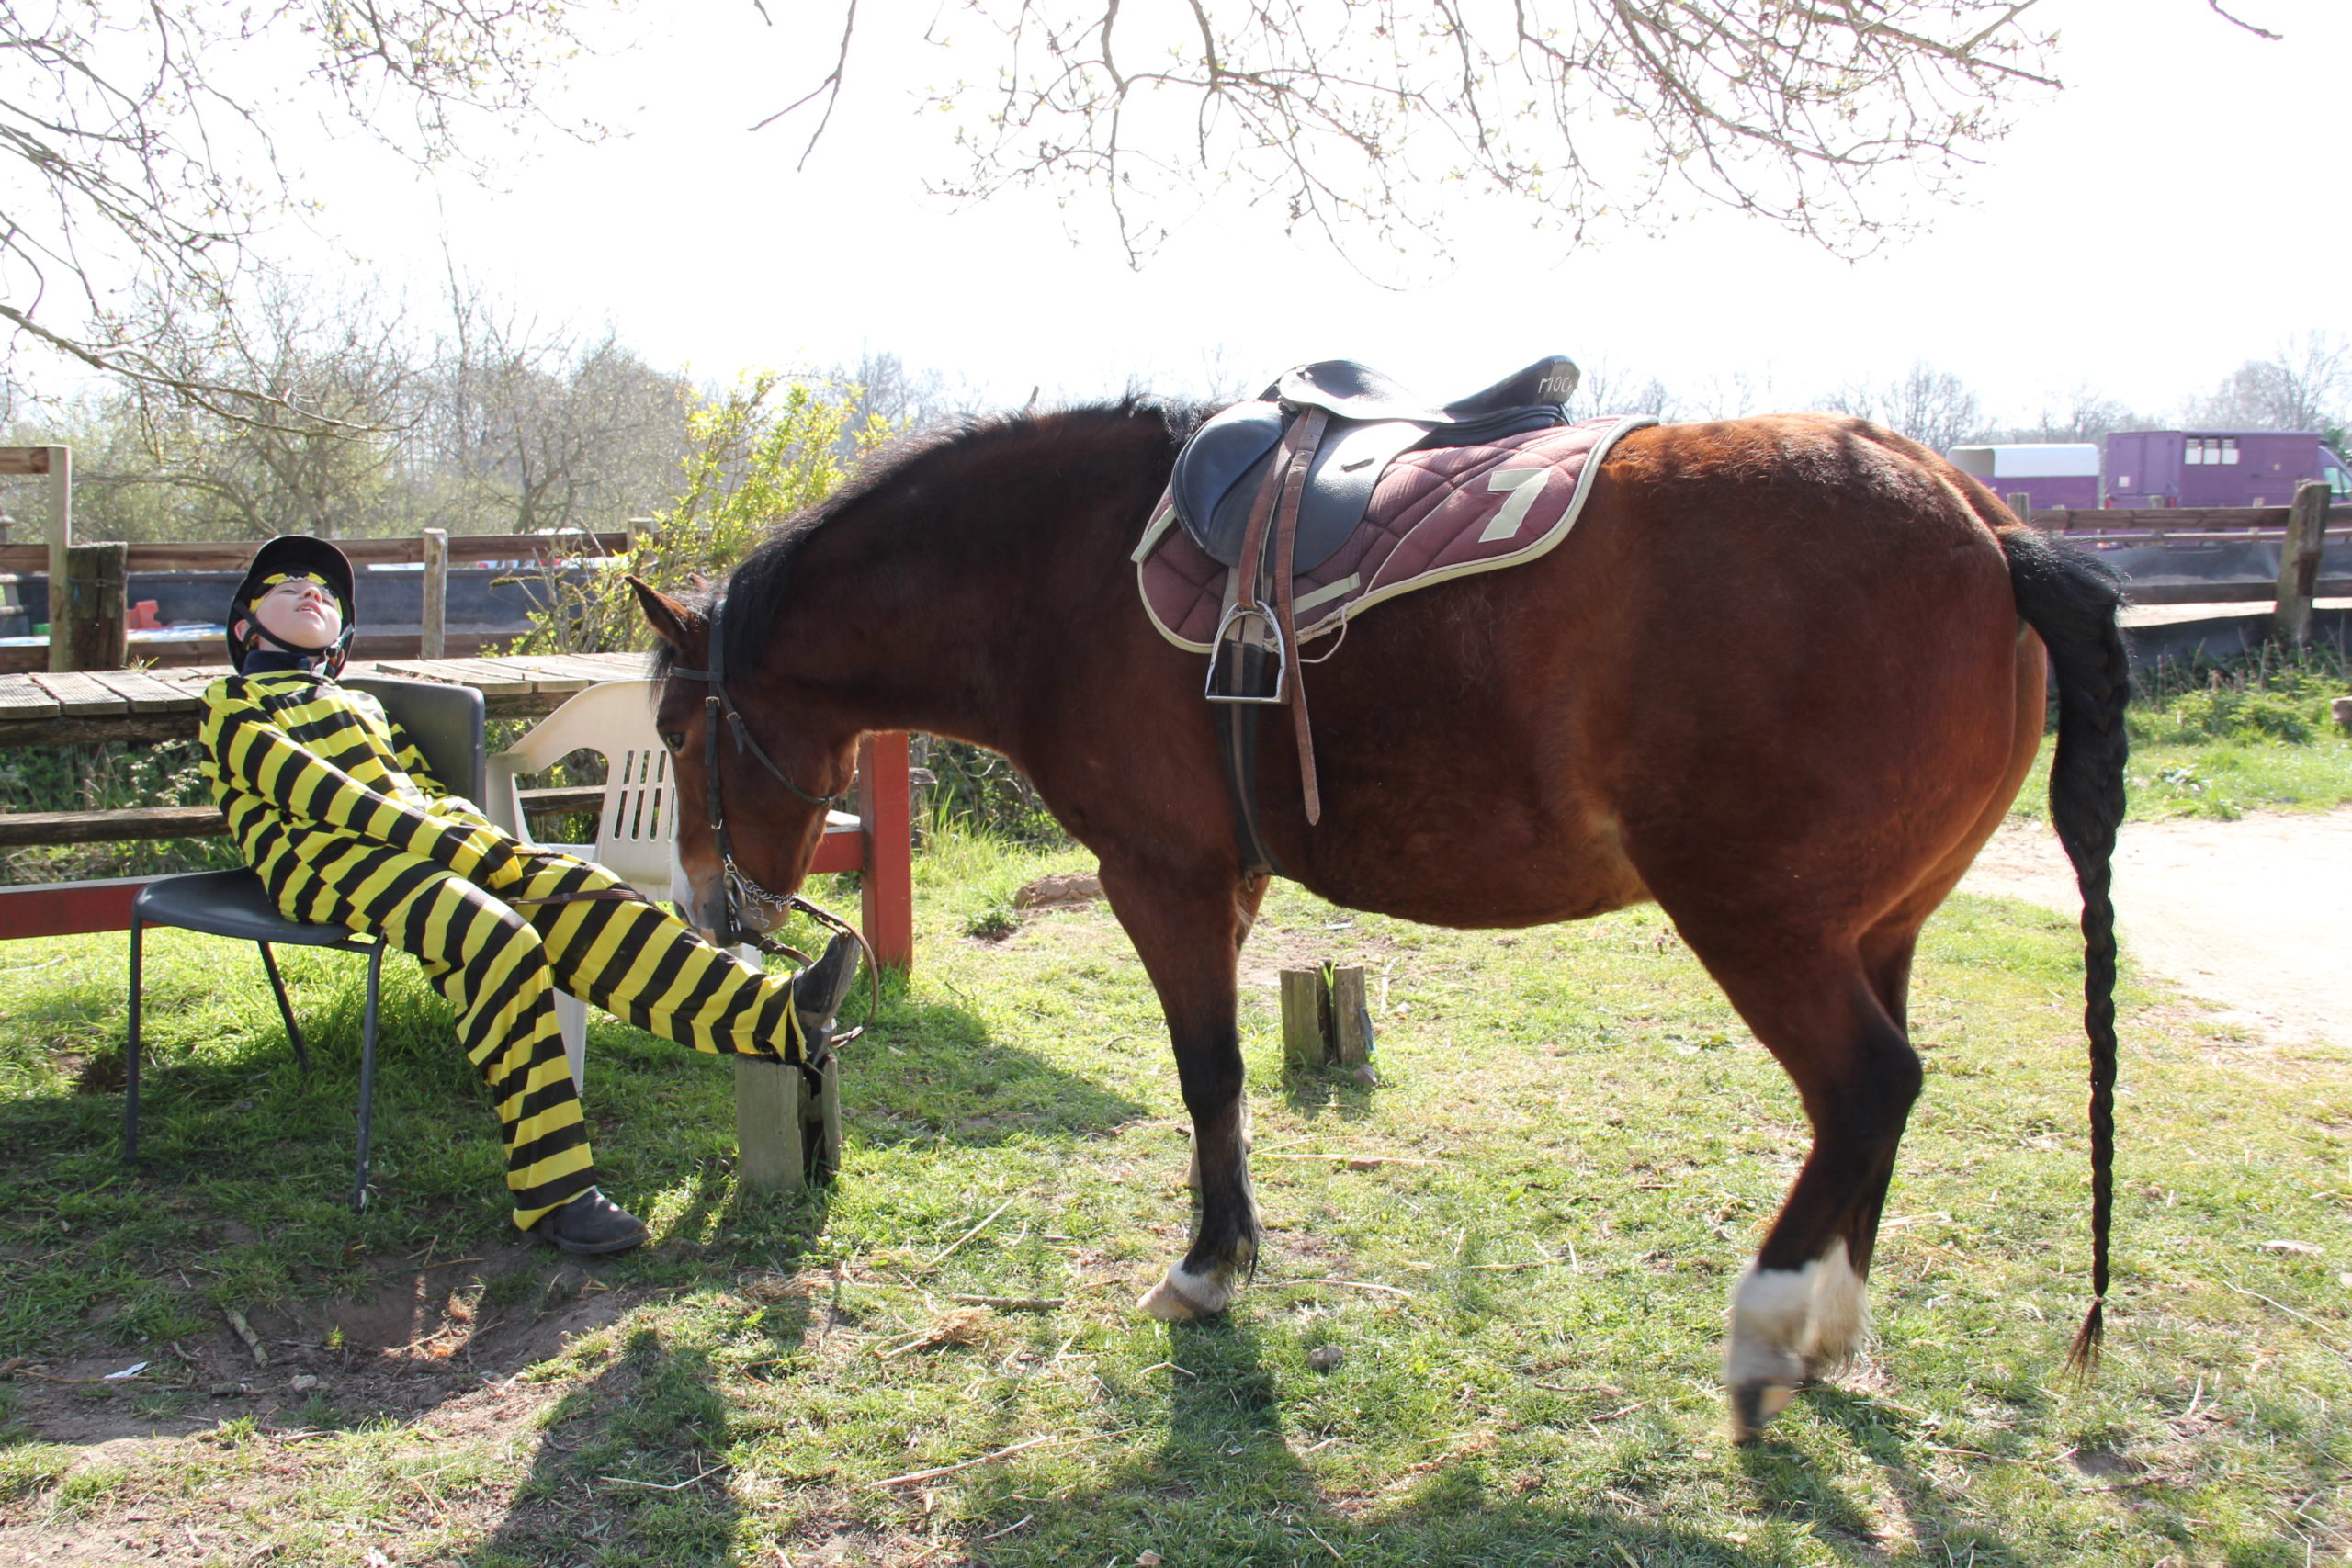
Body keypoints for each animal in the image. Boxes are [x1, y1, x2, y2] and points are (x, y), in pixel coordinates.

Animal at [626, 399, 2127, 1440]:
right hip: (1879, 928)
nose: (707, 902)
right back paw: (1828, 1326)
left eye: (678, 729)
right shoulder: (1224, 884)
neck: (1064, 574)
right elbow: (1224, 1084)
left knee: (1865, 1084)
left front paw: (1208, 1269)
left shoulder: (1160, 878)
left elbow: (1208, 1073)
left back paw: (1766, 1330)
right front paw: (1232, 1249)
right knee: (1874, 1105)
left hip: (1762, 922)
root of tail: (1987, 525)